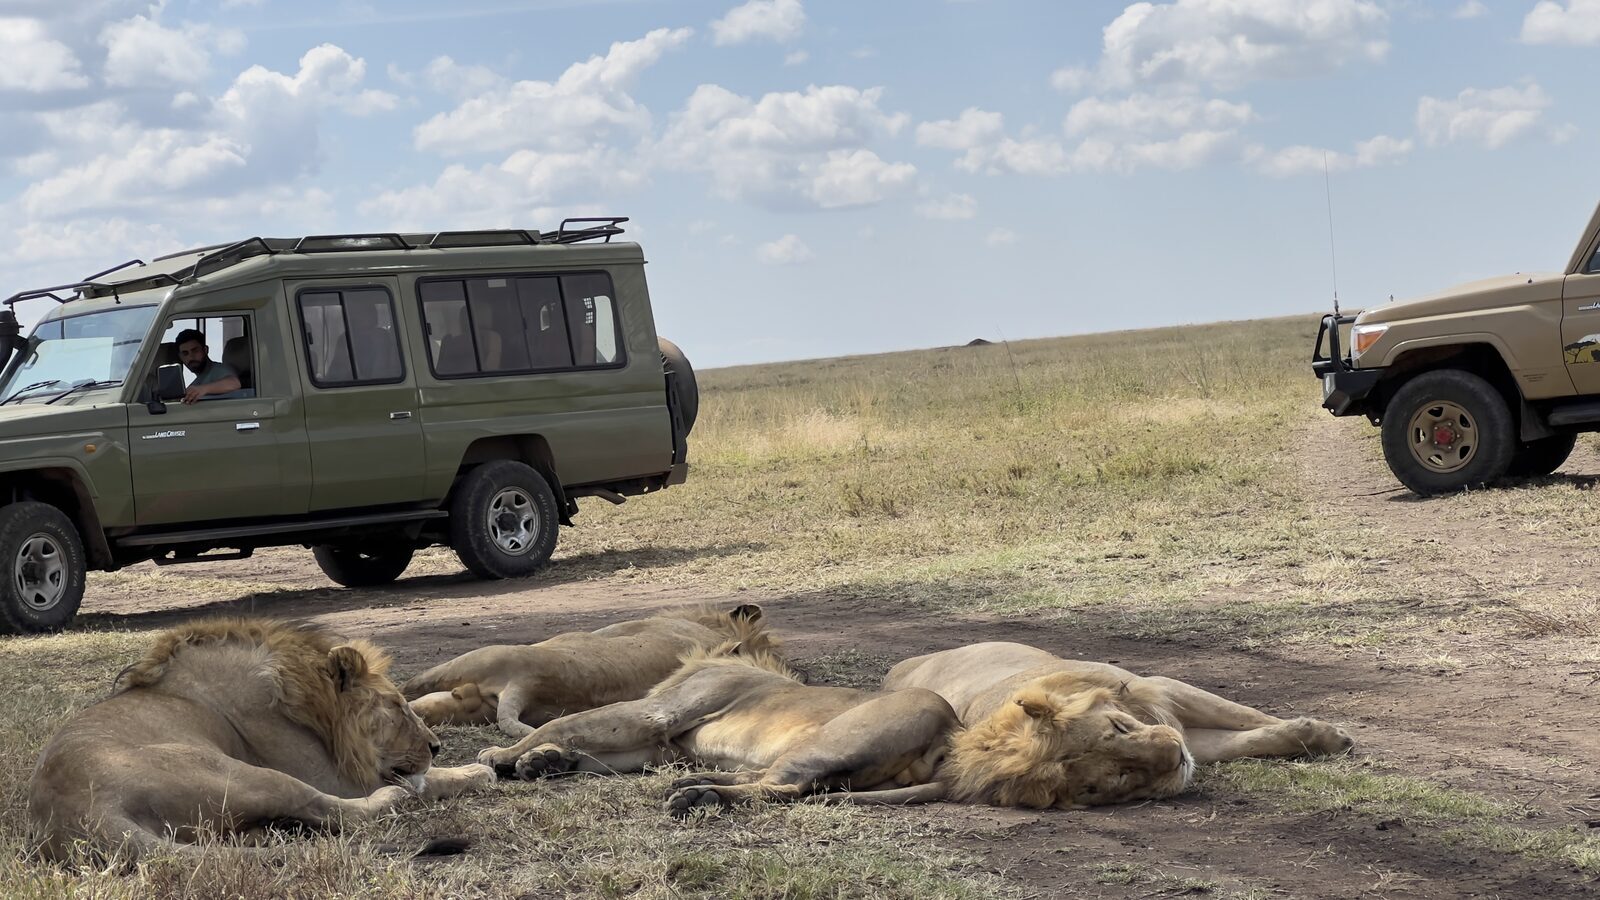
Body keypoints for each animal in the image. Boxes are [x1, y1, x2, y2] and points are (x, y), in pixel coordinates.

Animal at [28, 617, 495, 862]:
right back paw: (389, 800)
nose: (435, 746)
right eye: (397, 705)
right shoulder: (334, 776)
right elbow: (428, 780)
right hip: (243, 773)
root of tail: (80, 814)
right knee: (343, 813)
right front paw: (476, 770)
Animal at [883, 641, 1356, 808]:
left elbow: (1253, 720)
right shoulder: (1183, 733)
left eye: (1120, 726)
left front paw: (1333, 736)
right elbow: (1244, 740)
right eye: (1105, 785)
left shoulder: (1155, 686)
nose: (1175, 757)